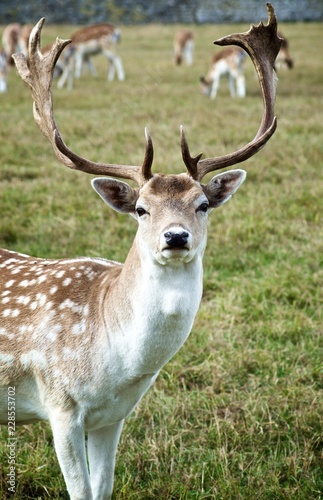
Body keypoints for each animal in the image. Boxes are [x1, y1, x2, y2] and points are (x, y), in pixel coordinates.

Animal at [0, 4, 282, 500]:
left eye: (202, 204)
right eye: (140, 209)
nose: (176, 237)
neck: (116, 363)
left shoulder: (113, 416)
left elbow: (103, 488)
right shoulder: (60, 403)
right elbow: (80, 492)